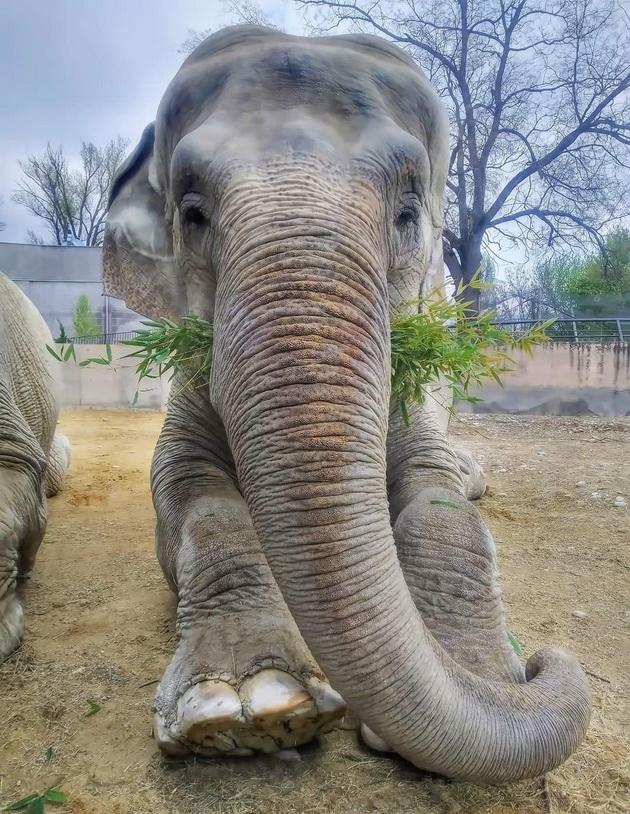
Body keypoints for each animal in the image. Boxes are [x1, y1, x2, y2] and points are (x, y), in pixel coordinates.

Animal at [103, 28, 592, 788]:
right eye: (192, 212)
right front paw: (250, 711)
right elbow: (189, 490)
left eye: (408, 213)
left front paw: (487, 678)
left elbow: (440, 501)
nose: (544, 661)